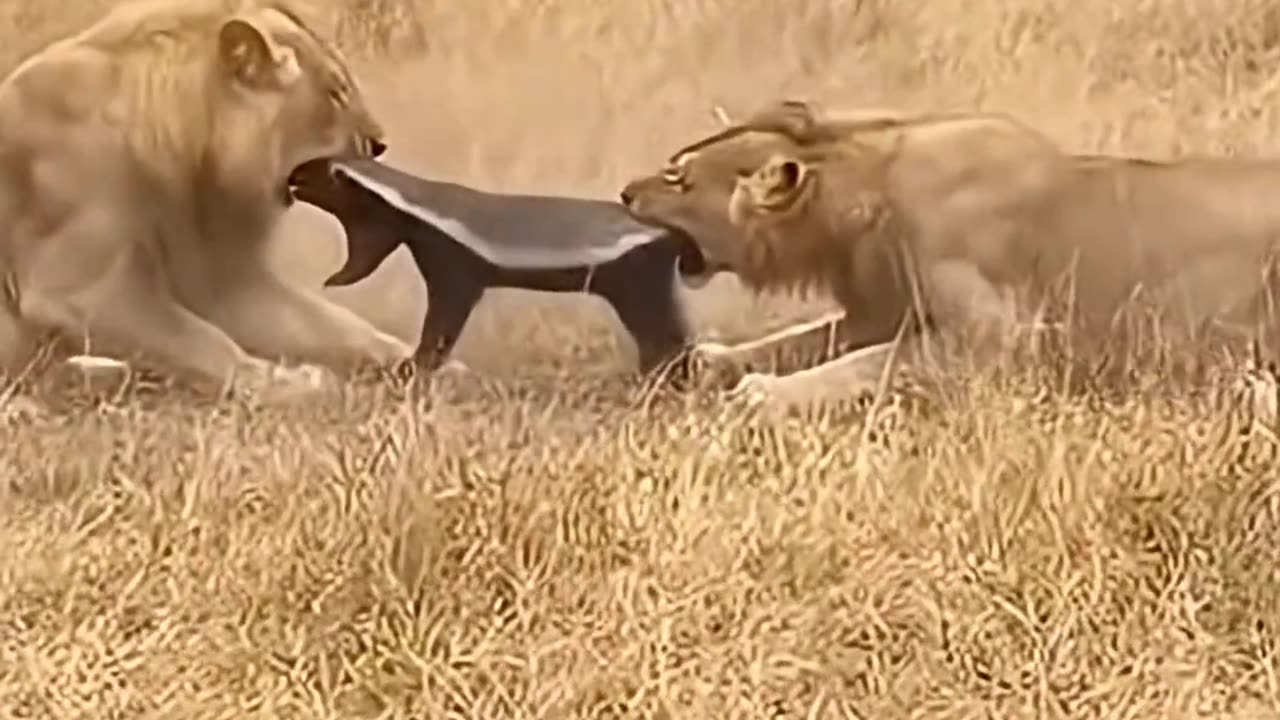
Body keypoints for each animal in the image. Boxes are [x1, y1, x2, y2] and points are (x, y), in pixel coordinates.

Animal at [0, 0, 412, 399]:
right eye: (336, 93)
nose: (380, 143)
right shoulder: (77, 289)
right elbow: (200, 341)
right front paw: (289, 382)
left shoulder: (223, 282)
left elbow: (335, 325)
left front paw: (409, 360)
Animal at [620, 100, 1280, 411]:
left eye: (678, 178)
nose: (624, 192)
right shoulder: (882, 311)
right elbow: (806, 339)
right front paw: (717, 361)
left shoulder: (999, 340)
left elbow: (874, 363)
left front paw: (765, 396)